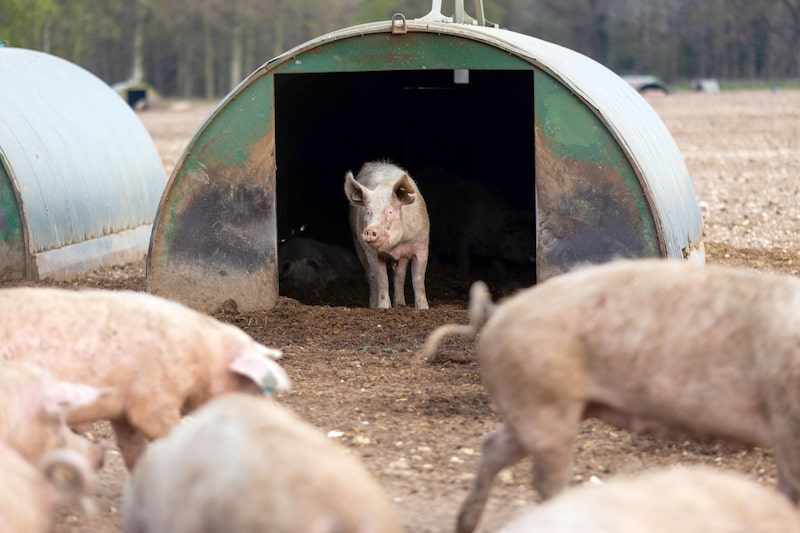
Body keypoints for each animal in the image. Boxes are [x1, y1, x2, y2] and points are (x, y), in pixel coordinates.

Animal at [344, 161, 430, 309]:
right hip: (358, 244)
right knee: (371, 276)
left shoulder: (421, 246)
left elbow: (418, 280)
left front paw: (423, 308)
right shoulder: (372, 253)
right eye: (368, 212)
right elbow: (382, 279)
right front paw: (383, 308)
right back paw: (373, 306)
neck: (395, 247)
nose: (369, 231)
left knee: (399, 275)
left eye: (390, 211)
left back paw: (400, 304)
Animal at [416, 259, 800, 533]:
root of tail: (499, 311)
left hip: (532, 404)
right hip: (545, 401)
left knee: (493, 447)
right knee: (543, 476)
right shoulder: (788, 421)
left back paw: (464, 524)